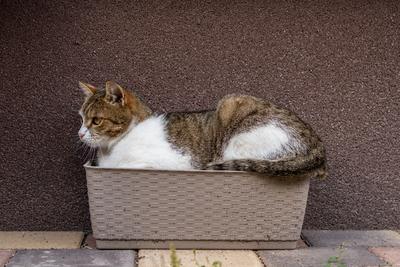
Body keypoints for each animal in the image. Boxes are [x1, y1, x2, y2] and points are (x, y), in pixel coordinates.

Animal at [77, 81, 324, 178]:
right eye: (81, 118)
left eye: (96, 121)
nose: (79, 133)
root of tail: (318, 146)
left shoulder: (171, 162)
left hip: (232, 114)